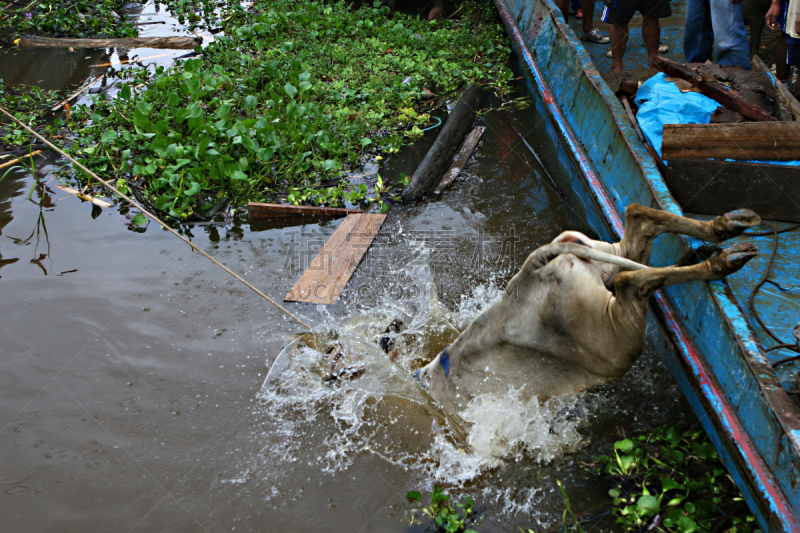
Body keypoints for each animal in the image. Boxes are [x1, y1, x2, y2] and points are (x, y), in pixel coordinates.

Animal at [416, 204, 760, 412]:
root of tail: (532, 268)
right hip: (603, 268)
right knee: (637, 228)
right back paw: (728, 234)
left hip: (611, 343)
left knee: (629, 278)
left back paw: (724, 256)